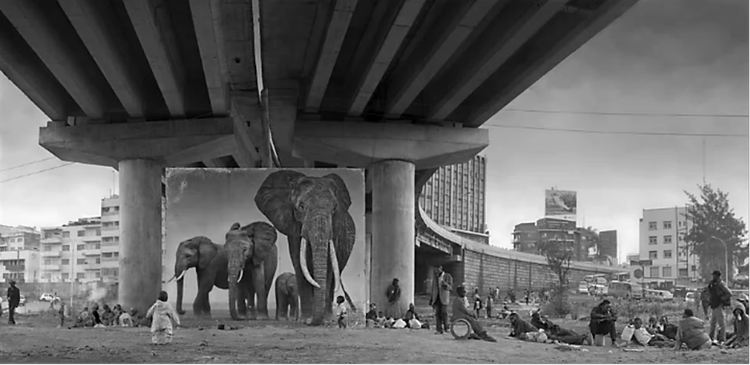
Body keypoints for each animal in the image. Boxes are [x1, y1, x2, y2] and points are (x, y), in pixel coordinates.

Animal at [256, 169, 356, 326]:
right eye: (301, 207)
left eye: (334, 208)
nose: (309, 322)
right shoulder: (294, 228)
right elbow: (300, 265)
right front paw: (305, 320)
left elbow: (328, 267)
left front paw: (322, 321)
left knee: (334, 275)